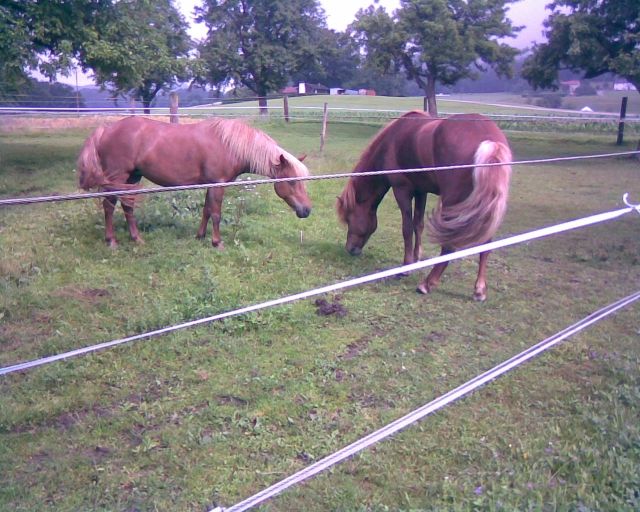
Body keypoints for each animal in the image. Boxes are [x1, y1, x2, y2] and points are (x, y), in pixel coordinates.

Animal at [76, 116, 312, 248]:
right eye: (292, 182)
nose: (307, 210)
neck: (229, 144)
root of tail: (106, 129)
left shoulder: (210, 185)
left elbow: (206, 210)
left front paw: (200, 236)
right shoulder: (218, 184)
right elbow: (216, 214)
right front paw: (217, 243)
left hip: (132, 178)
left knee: (127, 206)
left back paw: (136, 239)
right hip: (117, 178)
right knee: (109, 206)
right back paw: (111, 241)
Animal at [336, 111, 512, 301]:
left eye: (349, 219)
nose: (350, 249)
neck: (393, 139)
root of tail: (490, 141)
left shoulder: (402, 190)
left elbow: (407, 228)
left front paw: (406, 267)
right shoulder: (421, 191)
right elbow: (418, 225)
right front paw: (417, 257)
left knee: (449, 245)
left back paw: (427, 284)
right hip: (486, 209)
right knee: (485, 244)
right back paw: (479, 290)